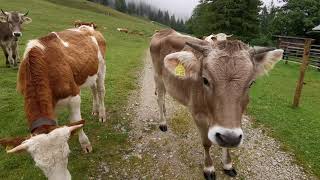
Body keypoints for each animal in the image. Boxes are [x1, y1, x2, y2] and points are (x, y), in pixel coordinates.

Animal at [0, 25, 107, 180]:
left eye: (67, 154)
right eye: (38, 165)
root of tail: (87, 27)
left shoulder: (74, 97)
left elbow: (77, 122)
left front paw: (85, 144)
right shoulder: (51, 106)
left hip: (101, 69)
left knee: (100, 90)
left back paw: (102, 115)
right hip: (90, 73)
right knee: (93, 90)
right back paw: (95, 110)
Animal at [150, 28, 282, 179]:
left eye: (251, 83)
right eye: (205, 80)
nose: (230, 138)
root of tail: (164, 30)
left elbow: (226, 142)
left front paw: (228, 164)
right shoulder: (198, 114)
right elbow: (206, 142)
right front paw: (209, 168)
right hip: (158, 77)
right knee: (160, 99)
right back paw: (163, 122)